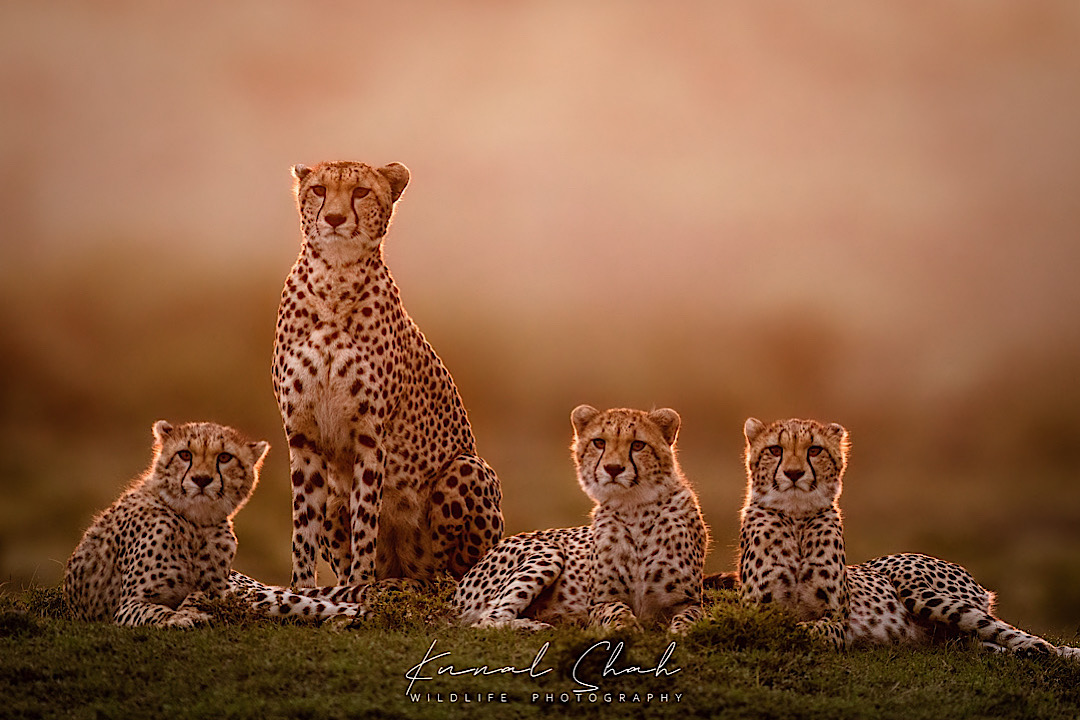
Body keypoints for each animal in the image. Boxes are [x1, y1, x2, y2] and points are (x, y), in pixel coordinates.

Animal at [64, 421, 367, 627]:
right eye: (185, 454)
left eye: (224, 457)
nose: (201, 480)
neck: (197, 525)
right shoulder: (128, 604)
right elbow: (157, 610)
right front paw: (180, 618)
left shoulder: (220, 591)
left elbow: (200, 597)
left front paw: (190, 610)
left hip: (261, 597)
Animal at [274, 160, 504, 588]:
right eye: (318, 189)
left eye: (361, 192)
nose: (334, 218)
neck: (335, 278)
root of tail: (403, 570)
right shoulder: (303, 437)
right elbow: (303, 526)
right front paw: (302, 588)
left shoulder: (370, 437)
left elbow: (366, 519)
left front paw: (361, 586)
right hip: (335, 496)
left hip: (466, 470)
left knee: (453, 571)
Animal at [454, 405, 708, 633]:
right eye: (599, 442)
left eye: (638, 445)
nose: (613, 468)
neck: (634, 508)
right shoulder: (600, 602)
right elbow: (617, 611)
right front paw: (625, 629)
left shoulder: (688, 602)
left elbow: (689, 618)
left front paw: (679, 634)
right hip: (549, 552)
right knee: (486, 620)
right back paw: (536, 626)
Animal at [738, 416, 1080, 659]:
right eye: (775, 450)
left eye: (814, 450)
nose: (794, 474)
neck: (796, 518)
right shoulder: (754, 612)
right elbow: (780, 627)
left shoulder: (837, 621)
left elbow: (807, 630)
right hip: (955, 635)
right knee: (986, 643)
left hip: (923, 594)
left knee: (1019, 636)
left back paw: (1051, 652)